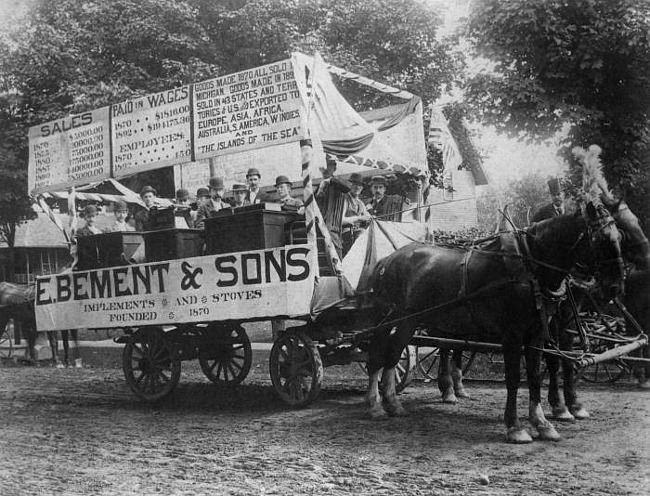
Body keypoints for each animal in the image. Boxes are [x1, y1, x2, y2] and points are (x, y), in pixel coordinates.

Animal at [368, 200, 620, 444]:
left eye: (619, 236)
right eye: (601, 238)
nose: (614, 287)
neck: (529, 268)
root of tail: (389, 259)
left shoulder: (538, 333)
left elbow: (535, 376)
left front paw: (543, 423)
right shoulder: (513, 334)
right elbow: (514, 377)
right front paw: (515, 427)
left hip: (409, 320)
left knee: (393, 353)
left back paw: (392, 401)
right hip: (401, 319)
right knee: (386, 354)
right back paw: (378, 403)